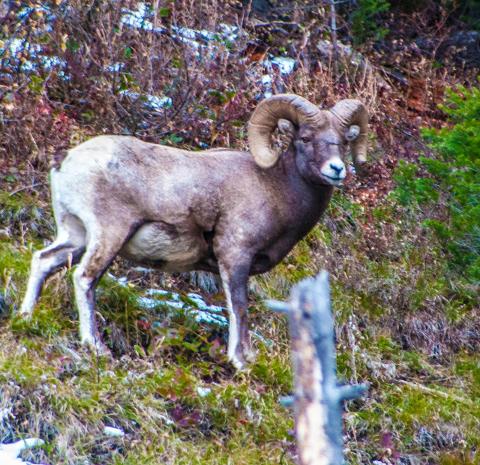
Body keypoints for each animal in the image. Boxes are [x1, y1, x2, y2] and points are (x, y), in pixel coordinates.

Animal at [18, 94, 368, 368]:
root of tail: (67, 160)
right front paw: (240, 362)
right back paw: (96, 346)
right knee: (84, 278)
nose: (337, 169)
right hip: (109, 235)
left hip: (75, 236)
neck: (275, 189)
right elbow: (239, 309)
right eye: (305, 138)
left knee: (44, 261)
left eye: (344, 140)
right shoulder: (235, 257)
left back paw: (26, 317)